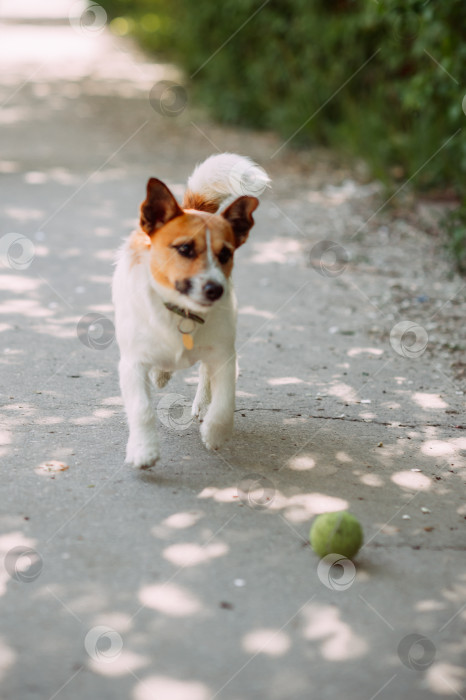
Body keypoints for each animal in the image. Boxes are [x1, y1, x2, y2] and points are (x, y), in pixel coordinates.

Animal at [111, 156, 270, 468]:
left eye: (225, 254)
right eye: (185, 249)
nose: (215, 289)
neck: (181, 312)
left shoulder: (224, 355)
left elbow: (226, 401)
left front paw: (216, 432)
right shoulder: (133, 364)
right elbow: (141, 408)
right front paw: (143, 449)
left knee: (205, 375)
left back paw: (202, 404)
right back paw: (162, 374)